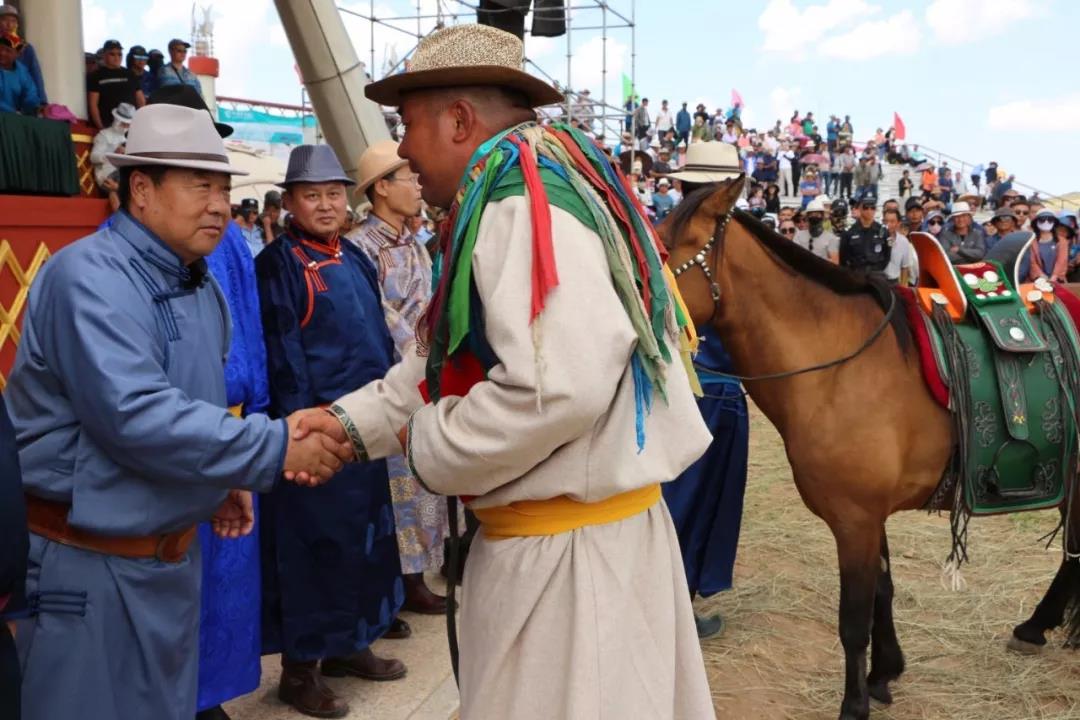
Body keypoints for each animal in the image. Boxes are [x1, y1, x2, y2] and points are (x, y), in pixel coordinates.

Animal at [656, 175, 1080, 720]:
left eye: (662, 245)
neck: (838, 365)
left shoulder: (854, 519)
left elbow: (853, 618)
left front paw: (854, 704)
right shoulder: (867, 517)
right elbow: (883, 590)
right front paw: (884, 673)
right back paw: (1034, 627)